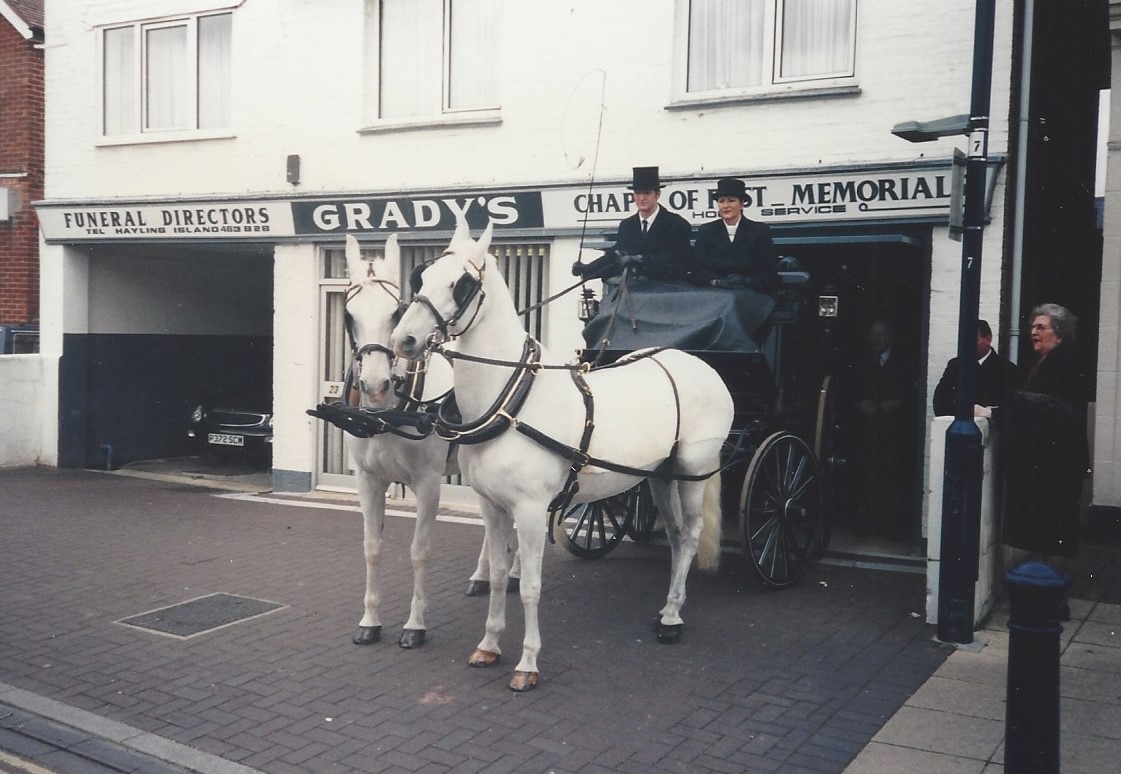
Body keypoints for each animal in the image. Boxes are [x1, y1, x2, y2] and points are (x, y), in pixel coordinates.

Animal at [340, 232, 515, 646]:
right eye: (349, 315)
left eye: (395, 311)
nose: (375, 386)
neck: (389, 413)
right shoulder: (367, 481)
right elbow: (372, 548)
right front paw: (370, 620)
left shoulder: (428, 484)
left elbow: (419, 552)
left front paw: (415, 624)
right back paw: (482, 576)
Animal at [392, 217, 735, 686]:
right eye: (421, 277)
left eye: (461, 283)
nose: (403, 339)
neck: (513, 400)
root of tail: (695, 363)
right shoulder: (492, 506)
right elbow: (497, 576)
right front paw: (489, 645)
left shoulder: (531, 510)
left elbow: (530, 587)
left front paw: (527, 664)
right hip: (662, 476)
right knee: (677, 533)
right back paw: (667, 607)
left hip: (692, 471)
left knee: (691, 535)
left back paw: (671, 618)